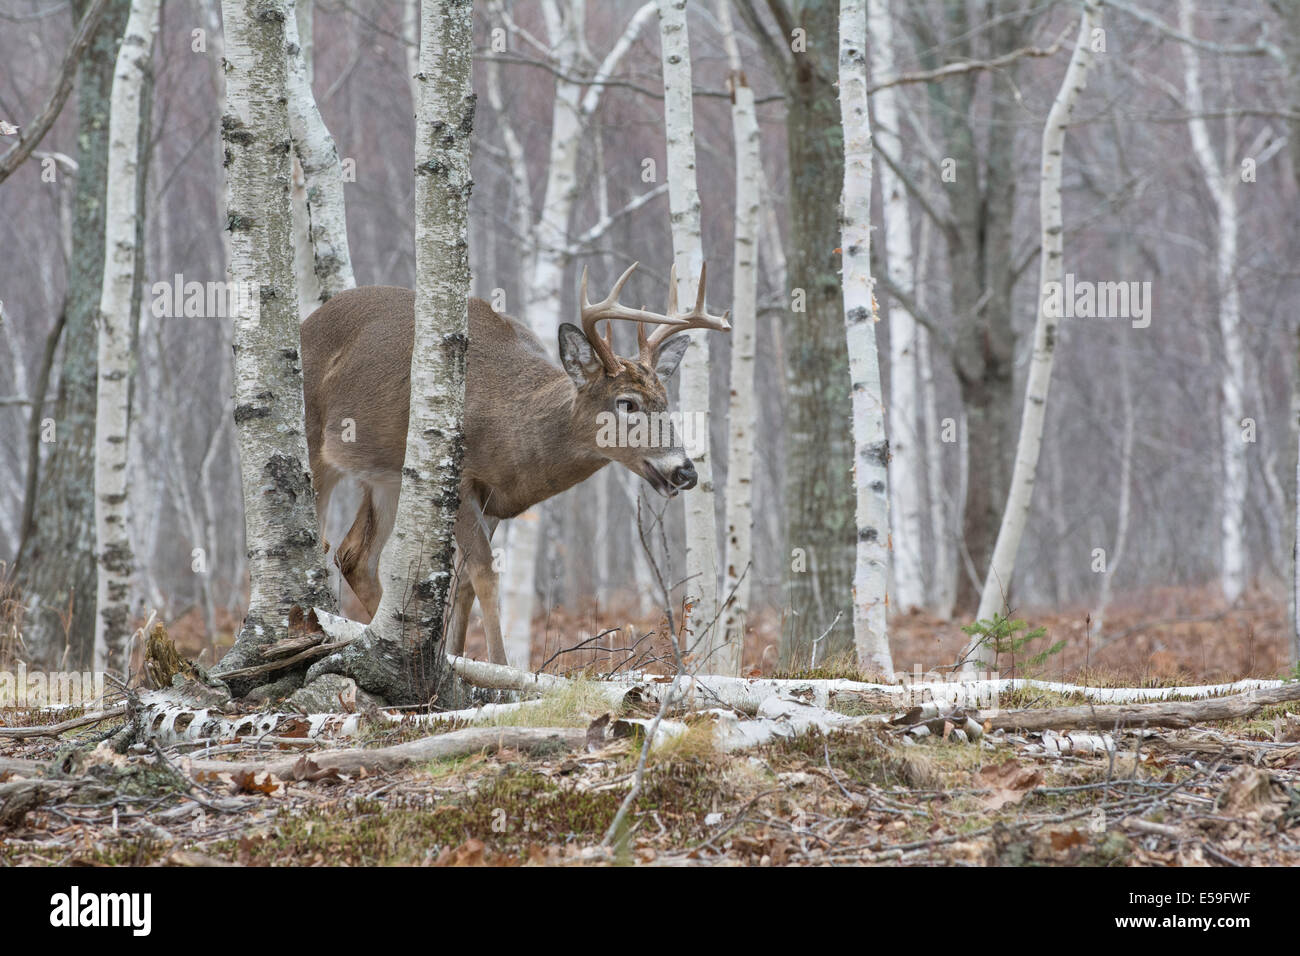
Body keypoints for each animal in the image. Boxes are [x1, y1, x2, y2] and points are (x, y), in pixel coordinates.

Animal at [301, 262, 730, 665]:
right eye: (627, 403)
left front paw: (455, 655)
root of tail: (306, 324)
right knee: (318, 539)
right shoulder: (461, 479)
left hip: (388, 481)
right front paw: (500, 669)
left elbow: (464, 583)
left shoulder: (493, 500)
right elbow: (486, 573)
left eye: (666, 401)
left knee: (354, 555)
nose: (685, 471)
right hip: (313, 439)